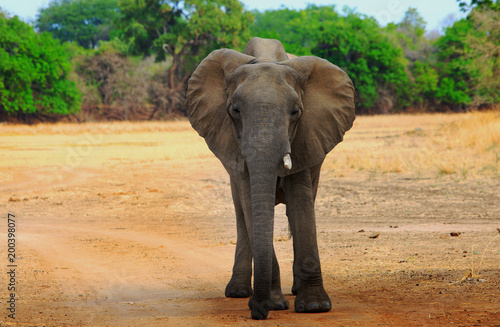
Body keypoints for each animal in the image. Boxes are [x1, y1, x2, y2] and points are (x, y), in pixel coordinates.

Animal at [187, 36, 356, 320]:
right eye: (235, 110)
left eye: (296, 112)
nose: (257, 311)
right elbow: (249, 203)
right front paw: (275, 303)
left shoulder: (306, 136)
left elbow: (300, 202)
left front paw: (314, 306)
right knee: (241, 214)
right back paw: (238, 291)